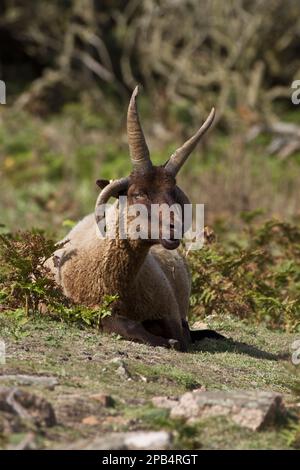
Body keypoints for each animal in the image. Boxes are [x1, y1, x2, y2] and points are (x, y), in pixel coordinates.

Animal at [45, 86, 221, 350]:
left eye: (172, 194)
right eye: (138, 193)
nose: (174, 229)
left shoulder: (169, 313)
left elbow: (181, 337)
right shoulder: (88, 311)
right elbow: (130, 327)